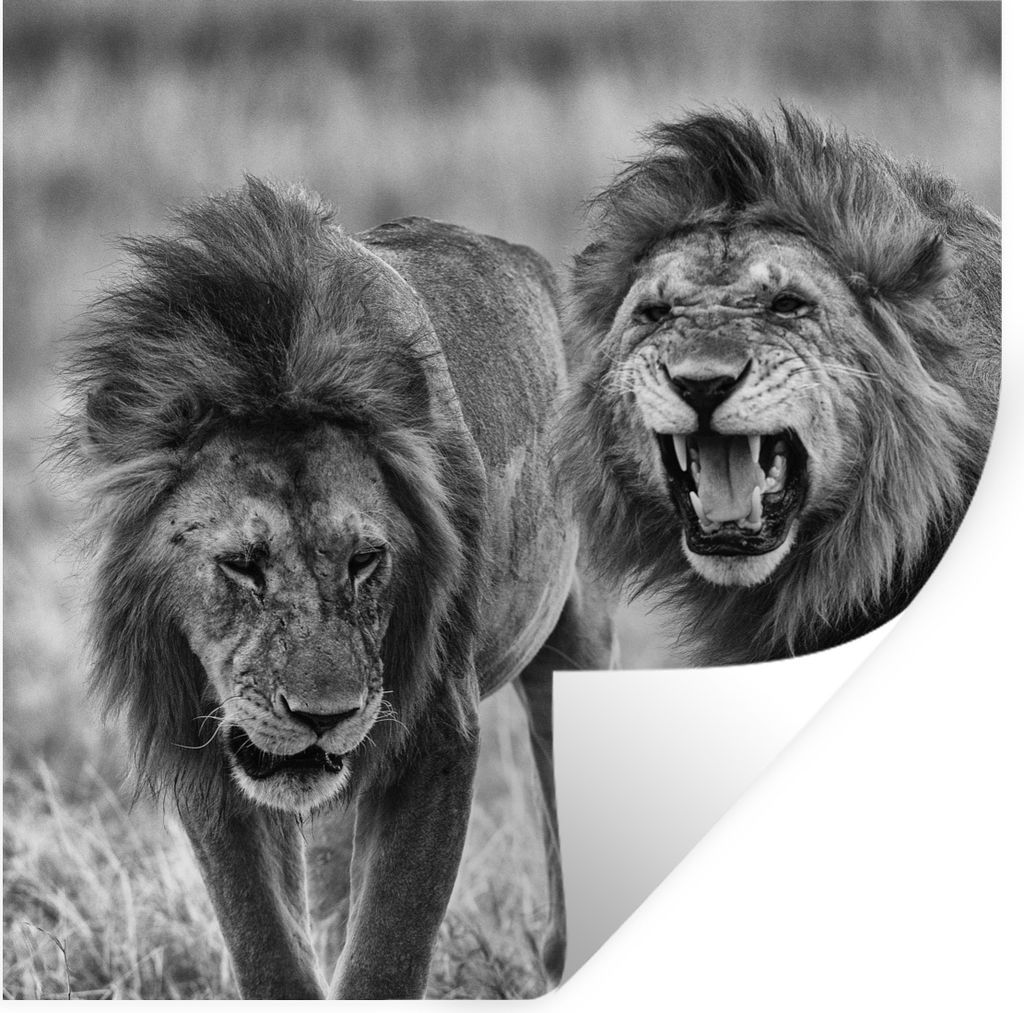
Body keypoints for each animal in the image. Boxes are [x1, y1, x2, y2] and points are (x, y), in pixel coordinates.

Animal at [60, 178, 612, 998]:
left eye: (364, 560)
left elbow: (388, 949)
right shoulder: (199, 737)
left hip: (575, 635)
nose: (326, 716)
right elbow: (266, 945)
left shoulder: (436, 731)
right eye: (242, 564)